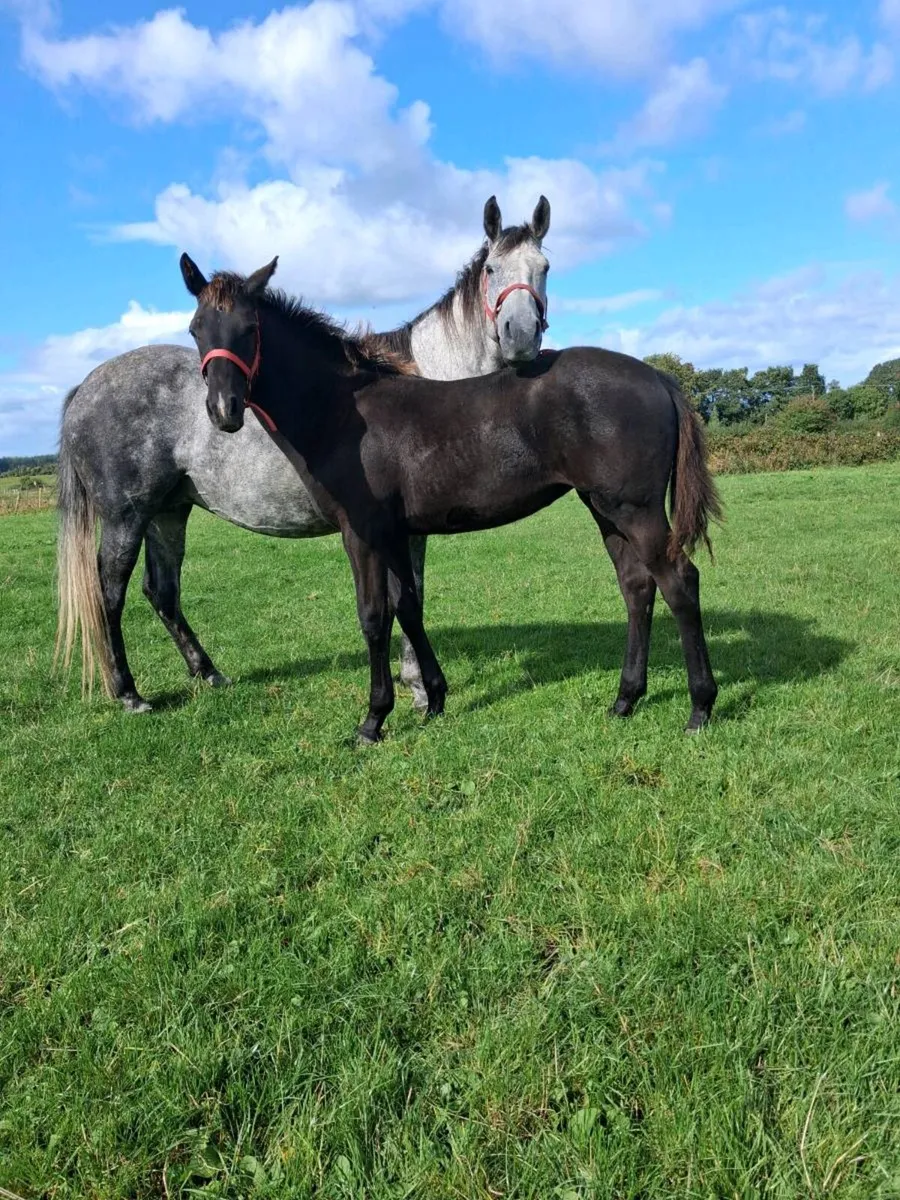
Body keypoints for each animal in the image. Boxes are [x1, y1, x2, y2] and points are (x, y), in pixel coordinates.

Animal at [55, 196, 552, 712]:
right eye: (492, 268)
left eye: (544, 268)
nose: (521, 336)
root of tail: (85, 387)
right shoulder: (402, 530)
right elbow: (408, 597)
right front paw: (417, 685)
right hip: (125, 516)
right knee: (109, 593)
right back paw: (129, 693)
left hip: (167, 512)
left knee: (162, 592)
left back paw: (209, 673)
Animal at [181, 255, 722, 744]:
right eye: (196, 329)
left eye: (250, 327)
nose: (224, 410)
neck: (342, 415)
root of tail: (657, 377)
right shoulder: (396, 533)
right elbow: (408, 606)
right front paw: (435, 700)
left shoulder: (362, 532)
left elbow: (373, 616)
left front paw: (373, 720)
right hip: (605, 509)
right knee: (637, 587)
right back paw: (625, 700)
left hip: (636, 511)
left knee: (679, 582)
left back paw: (700, 708)